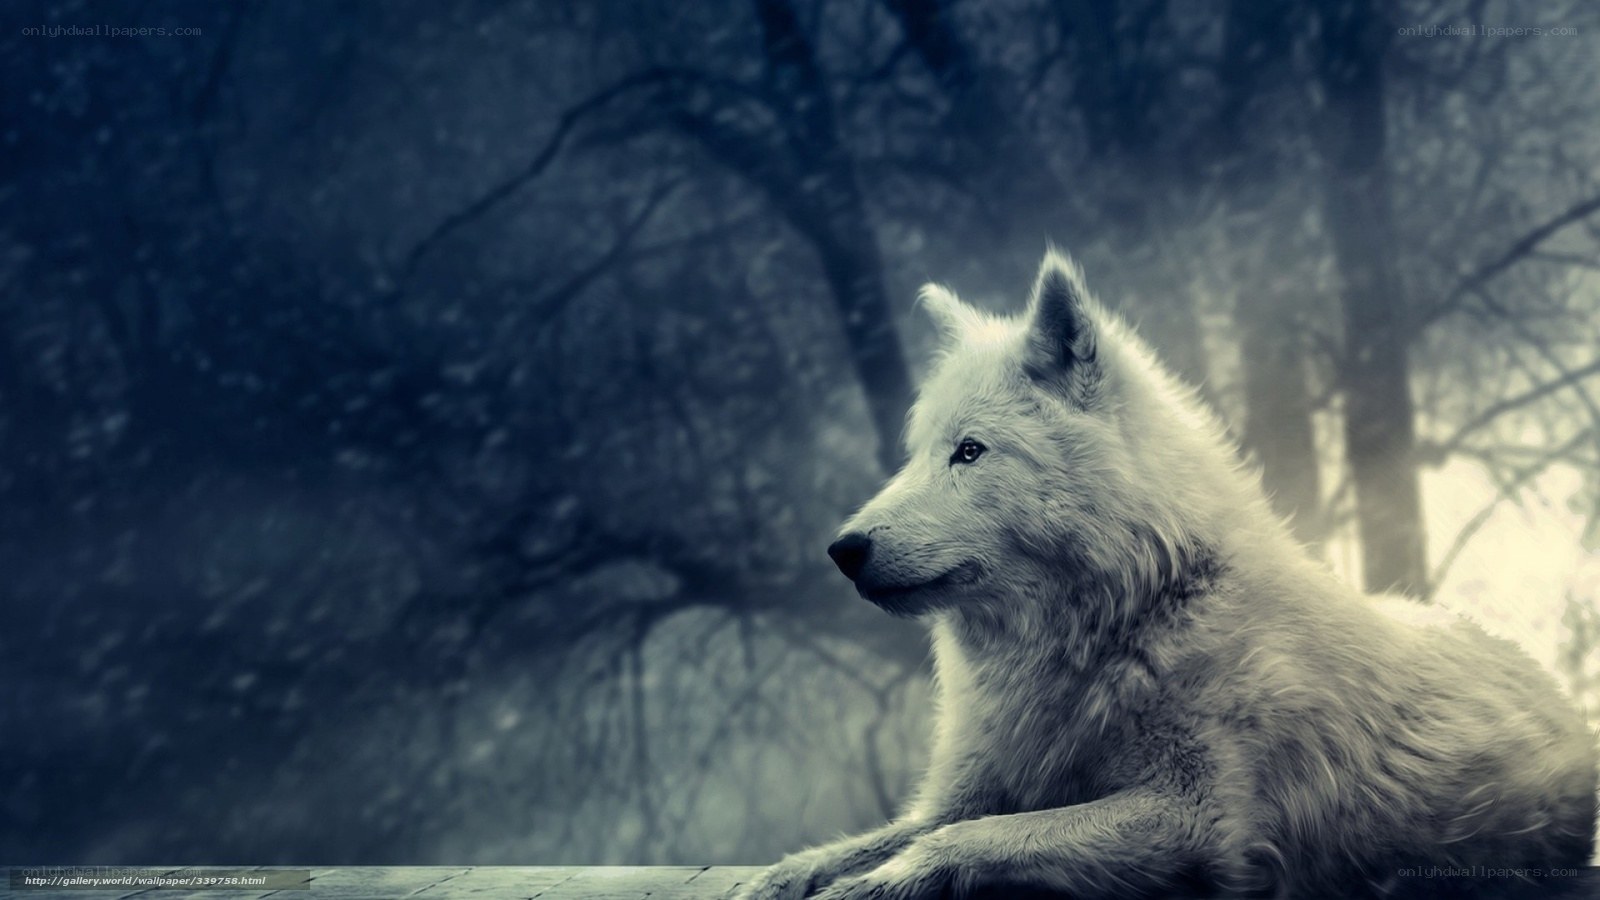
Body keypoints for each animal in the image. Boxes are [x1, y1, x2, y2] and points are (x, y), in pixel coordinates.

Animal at [738, 253, 1597, 899]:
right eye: (917, 453)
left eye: (970, 451)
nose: (843, 548)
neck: (1131, 616)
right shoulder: (965, 789)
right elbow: (871, 840)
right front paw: (780, 877)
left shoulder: (1196, 819)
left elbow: (970, 839)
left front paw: (876, 883)